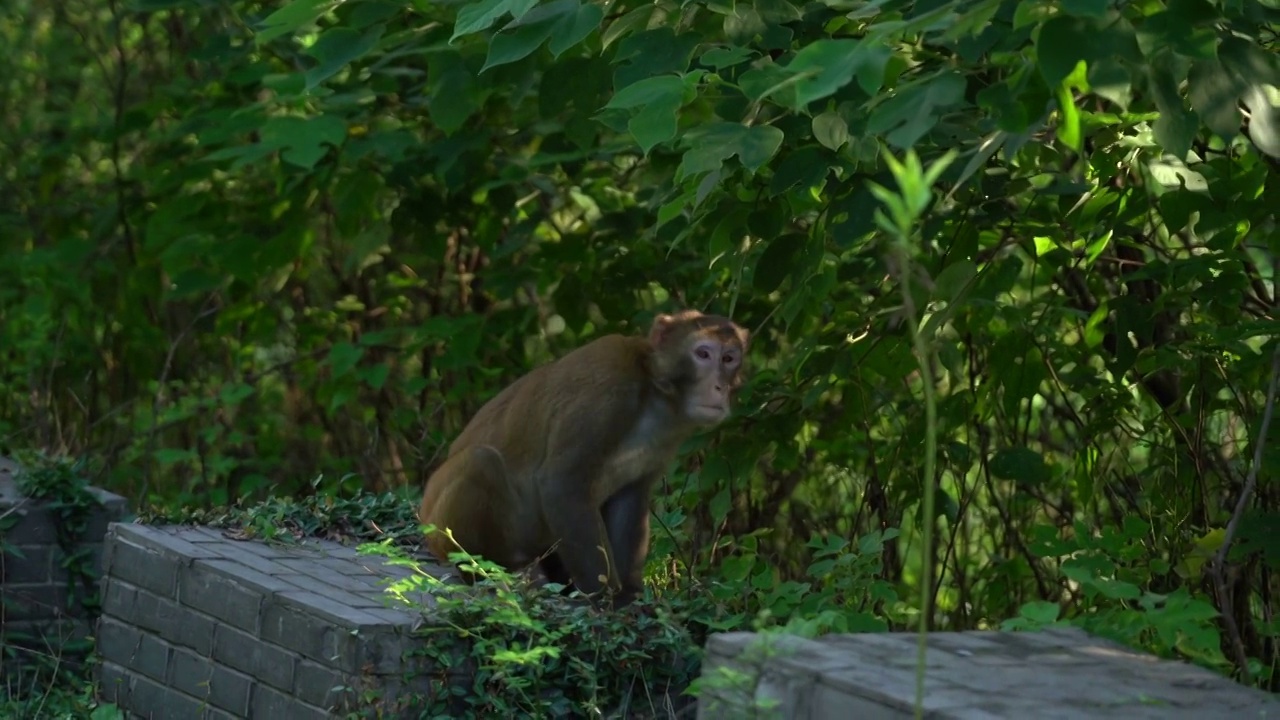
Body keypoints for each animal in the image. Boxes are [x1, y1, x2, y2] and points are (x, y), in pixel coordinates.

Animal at [414, 308, 747, 604]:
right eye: (703, 354)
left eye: (729, 359)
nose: (720, 386)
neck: (655, 393)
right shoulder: (609, 387)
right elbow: (561, 483)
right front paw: (605, 597)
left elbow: (630, 497)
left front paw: (630, 594)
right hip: (439, 528)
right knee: (481, 462)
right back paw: (502, 569)